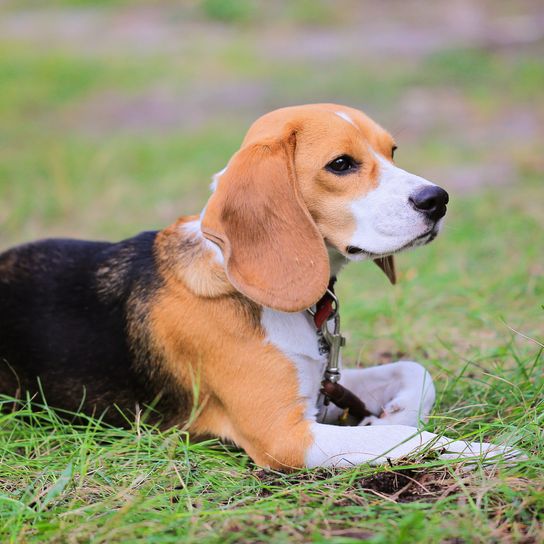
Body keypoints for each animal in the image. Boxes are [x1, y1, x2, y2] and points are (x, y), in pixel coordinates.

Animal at [0, 105, 516, 468]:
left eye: (391, 152)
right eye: (341, 164)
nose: (438, 199)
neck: (240, 284)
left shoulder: (318, 383)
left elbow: (414, 371)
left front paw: (390, 412)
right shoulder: (285, 436)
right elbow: (400, 437)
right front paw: (487, 452)